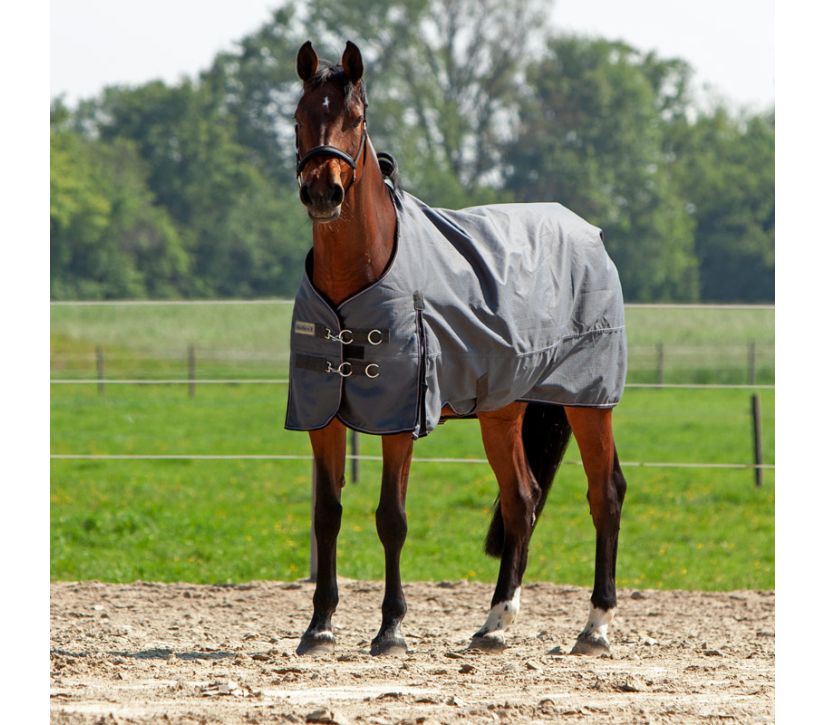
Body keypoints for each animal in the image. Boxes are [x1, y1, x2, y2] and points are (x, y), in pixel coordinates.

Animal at [287, 40, 628, 657]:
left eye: (357, 118)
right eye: (300, 116)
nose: (323, 192)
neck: (359, 275)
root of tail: (587, 232)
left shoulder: (399, 418)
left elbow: (391, 518)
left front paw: (391, 629)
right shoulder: (322, 416)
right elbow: (327, 515)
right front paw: (319, 626)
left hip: (589, 402)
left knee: (605, 495)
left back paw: (595, 627)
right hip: (503, 411)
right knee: (522, 499)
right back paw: (495, 622)